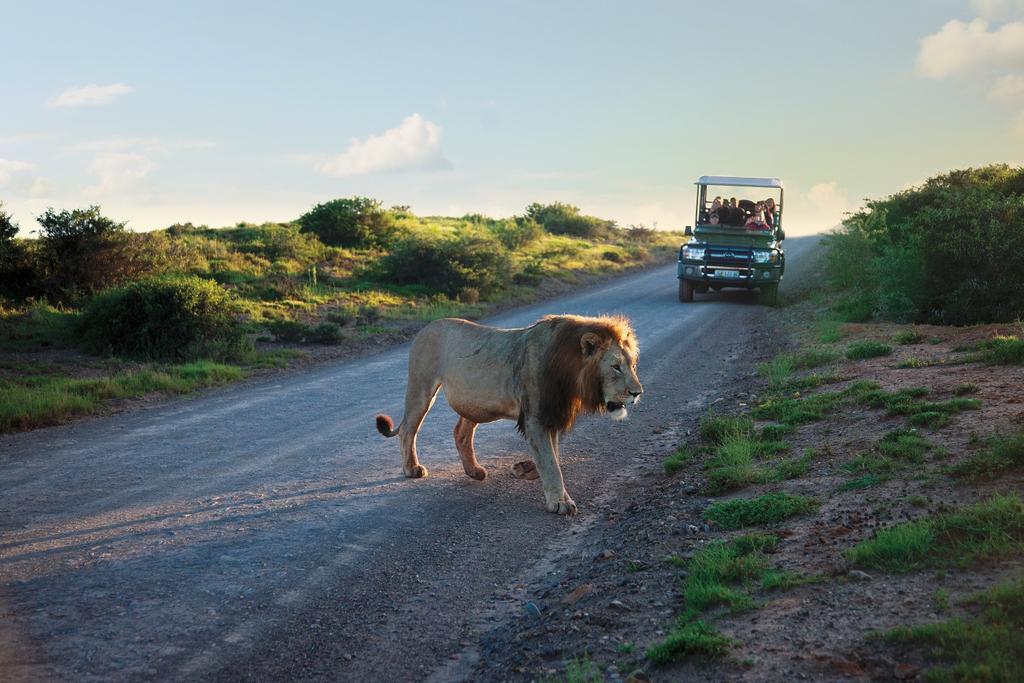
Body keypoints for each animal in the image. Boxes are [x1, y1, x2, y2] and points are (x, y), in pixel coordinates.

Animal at [375, 314, 642, 515]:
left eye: (632, 366)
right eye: (615, 367)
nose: (637, 393)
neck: (570, 372)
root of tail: (426, 327)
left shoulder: (550, 415)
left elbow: (553, 457)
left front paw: (529, 472)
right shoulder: (536, 417)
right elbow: (551, 462)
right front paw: (560, 502)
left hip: (474, 402)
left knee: (460, 433)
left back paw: (474, 471)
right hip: (421, 388)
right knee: (408, 429)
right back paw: (412, 468)